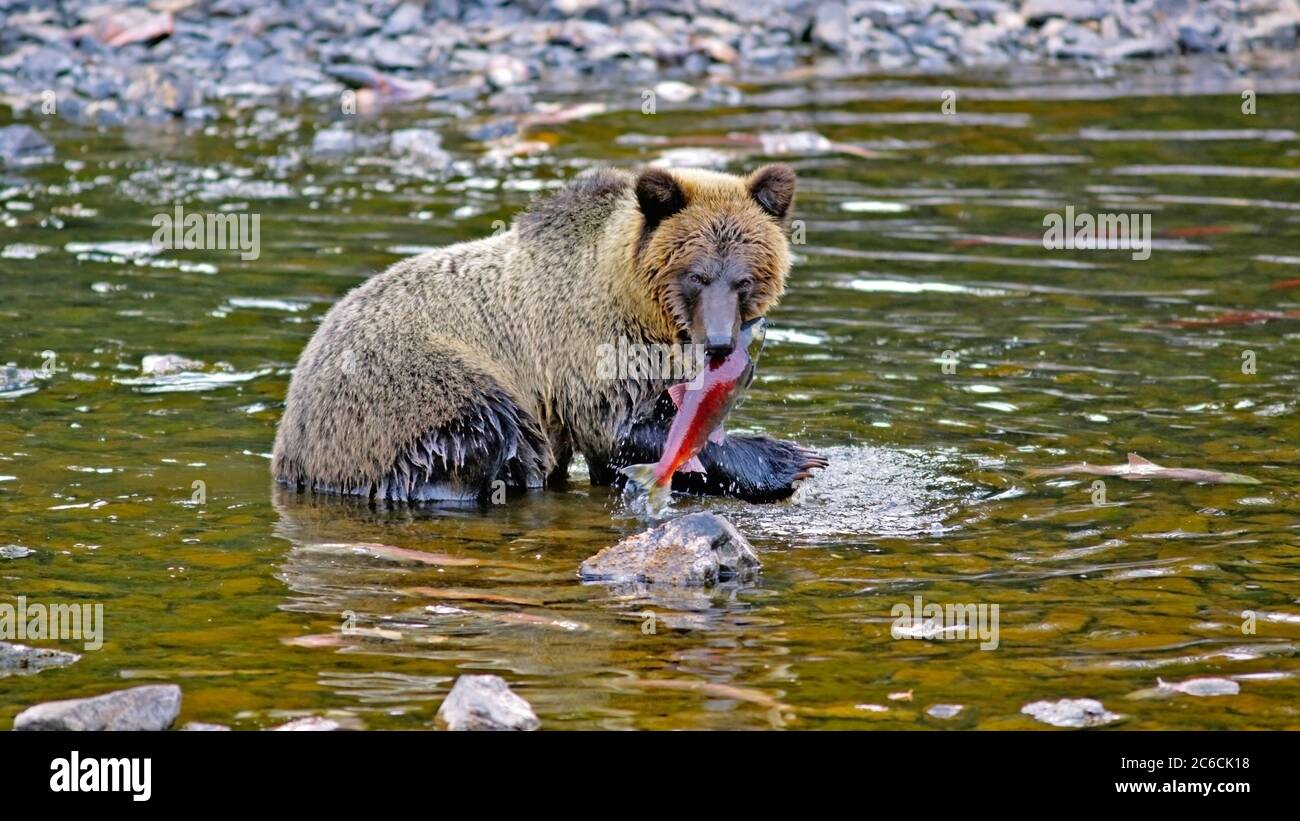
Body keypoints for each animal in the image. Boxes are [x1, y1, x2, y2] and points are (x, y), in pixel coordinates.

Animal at [270, 163, 826, 504]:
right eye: (696, 275)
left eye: (744, 279)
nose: (719, 341)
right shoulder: (589, 347)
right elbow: (621, 430)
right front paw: (790, 459)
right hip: (409, 393)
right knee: (484, 434)